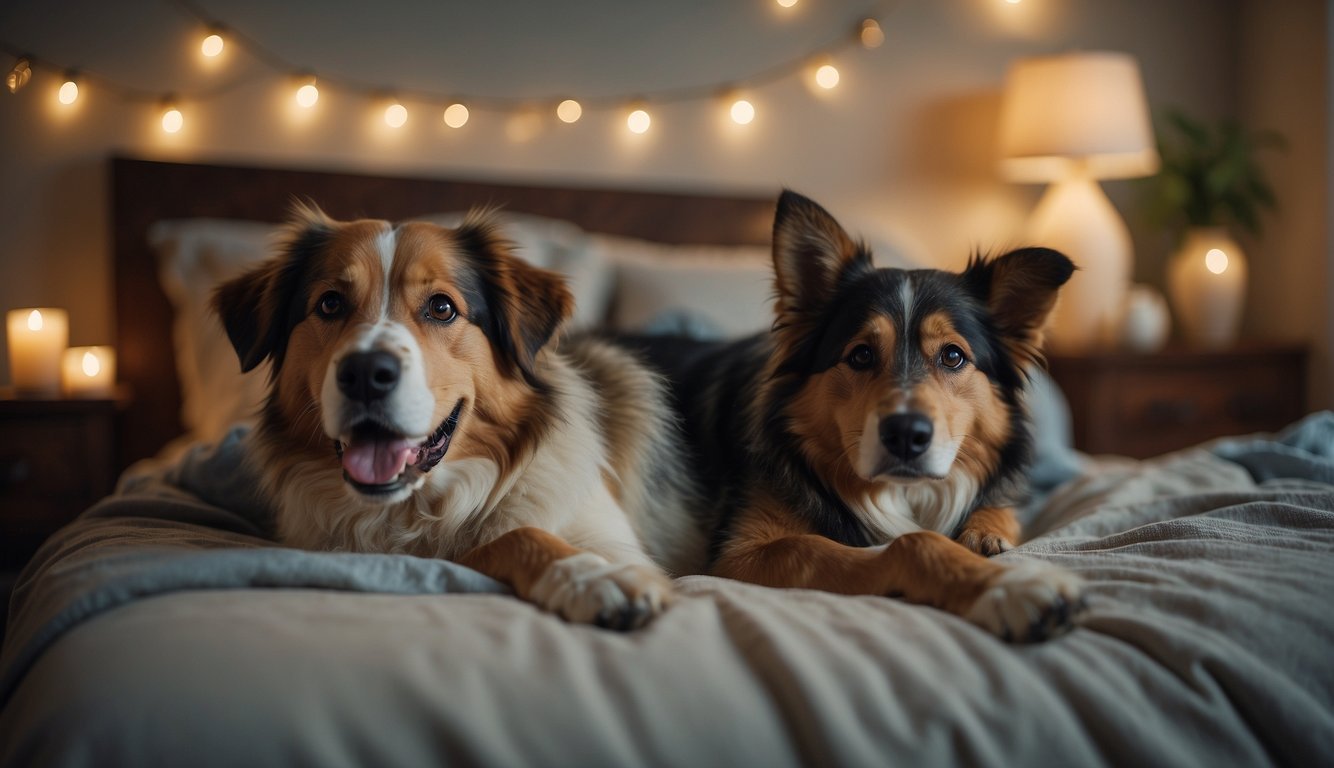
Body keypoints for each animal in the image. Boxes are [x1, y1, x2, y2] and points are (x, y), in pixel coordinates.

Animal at [212, 205, 704, 629]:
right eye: (330, 304)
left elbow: (513, 535)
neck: (410, 511)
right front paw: (585, 575)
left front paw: (591, 574)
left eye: (442, 307)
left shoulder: (612, 539)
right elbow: (496, 543)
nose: (366, 374)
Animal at [632, 192, 1083, 642]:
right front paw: (1010, 585)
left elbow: (1001, 510)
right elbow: (909, 543)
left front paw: (987, 532)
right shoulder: (739, 555)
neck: (901, 494)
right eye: (861, 354)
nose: (906, 434)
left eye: (953, 356)